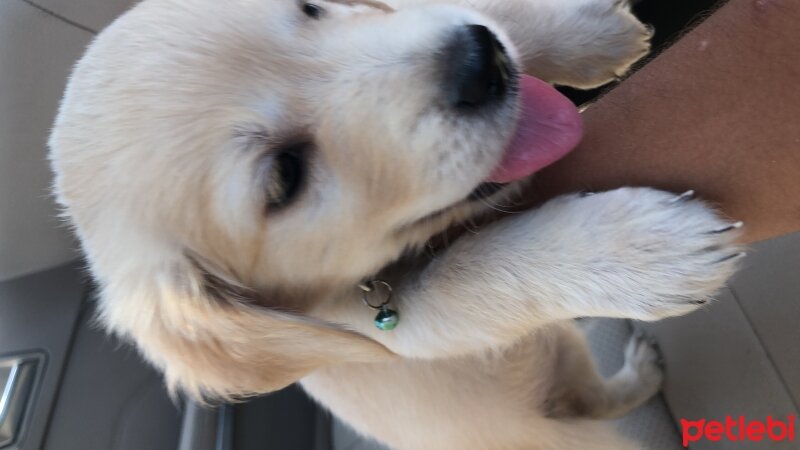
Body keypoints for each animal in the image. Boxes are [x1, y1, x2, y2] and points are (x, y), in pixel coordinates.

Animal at [50, 0, 740, 448]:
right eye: (285, 177)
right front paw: (637, 251)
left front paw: (580, 29)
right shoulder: (386, 329)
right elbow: (483, 268)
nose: (480, 58)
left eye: (311, 7)